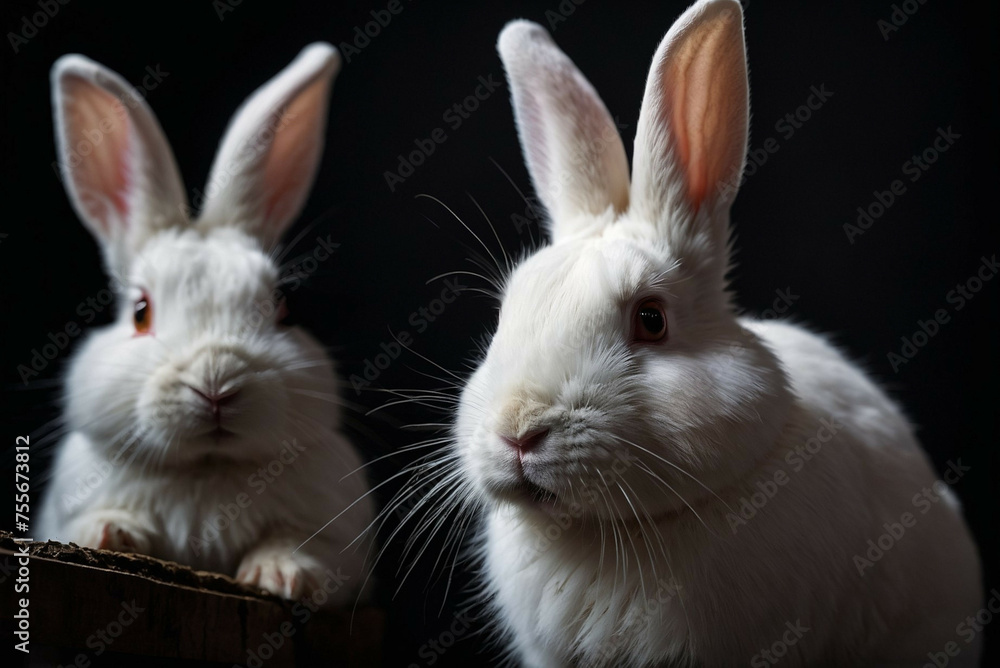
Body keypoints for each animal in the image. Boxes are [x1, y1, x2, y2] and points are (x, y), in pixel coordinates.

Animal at [37, 43, 373, 606]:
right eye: (141, 312)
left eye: (281, 306)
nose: (216, 383)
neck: (207, 471)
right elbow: (95, 518)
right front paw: (108, 533)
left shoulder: (340, 538)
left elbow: (302, 544)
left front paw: (283, 575)